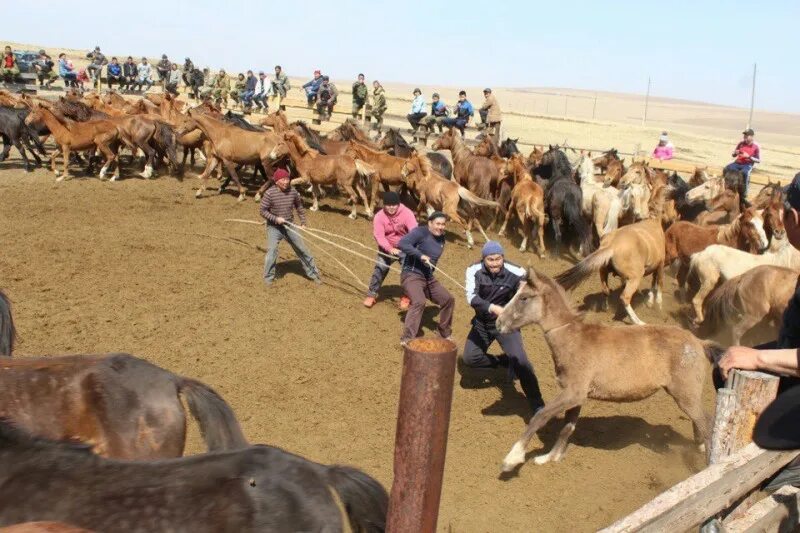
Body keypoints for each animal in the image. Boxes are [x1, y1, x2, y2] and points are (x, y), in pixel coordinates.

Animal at [496, 270, 716, 470]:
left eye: (523, 297)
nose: (499, 323)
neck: (573, 339)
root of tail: (699, 342)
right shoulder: (577, 397)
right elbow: (567, 427)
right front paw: (550, 457)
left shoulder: (572, 393)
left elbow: (540, 416)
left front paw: (512, 458)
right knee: (701, 421)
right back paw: (699, 448)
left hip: (685, 395)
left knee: (705, 424)